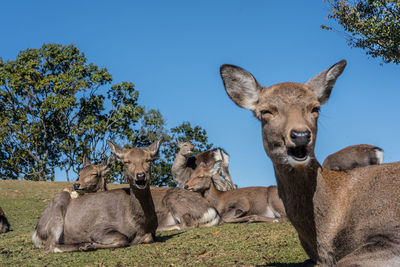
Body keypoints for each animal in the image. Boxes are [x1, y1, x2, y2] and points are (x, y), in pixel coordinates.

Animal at [32, 140, 161, 253]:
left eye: (149, 160)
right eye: (126, 162)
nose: (140, 176)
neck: (139, 225)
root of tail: (36, 232)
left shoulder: (151, 233)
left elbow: (149, 238)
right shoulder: (99, 229)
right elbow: (123, 239)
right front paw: (90, 244)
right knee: (50, 246)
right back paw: (83, 245)